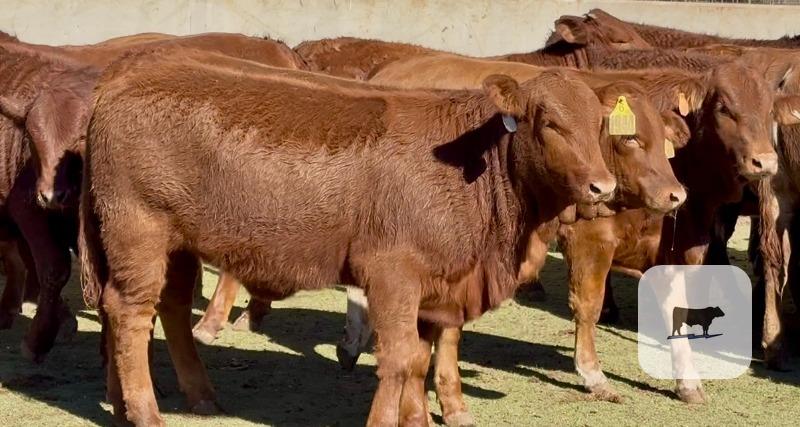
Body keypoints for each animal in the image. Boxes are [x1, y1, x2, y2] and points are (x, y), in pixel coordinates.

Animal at [77, 46, 613, 426]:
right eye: (549, 123)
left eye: (600, 124)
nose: (603, 186)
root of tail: (125, 73)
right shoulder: (393, 273)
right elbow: (399, 359)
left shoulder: (434, 285)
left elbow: (420, 360)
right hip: (137, 230)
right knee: (130, 311)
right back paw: (145, 413)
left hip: (179, 240)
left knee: (159, 307)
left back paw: (174, 400)